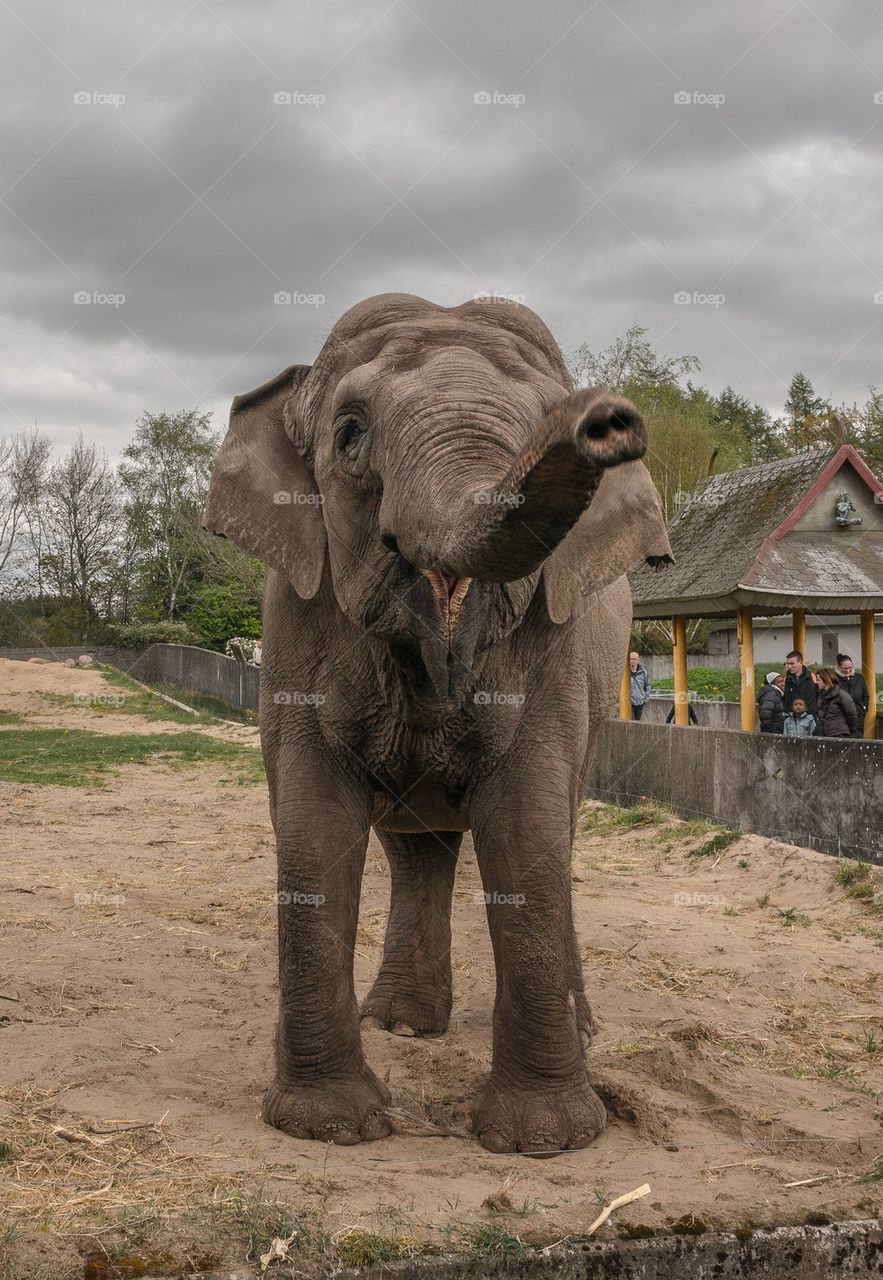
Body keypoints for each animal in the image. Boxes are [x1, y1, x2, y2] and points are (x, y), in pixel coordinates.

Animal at [203, 293, 672, 1155]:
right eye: (350, 435)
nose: (609, 418)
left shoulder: (553, 649)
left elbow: (525, 823)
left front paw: (542, 1142)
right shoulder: (293, 621)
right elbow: (314, 819)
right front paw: (333, 1128)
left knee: (549, 835)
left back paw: (577, 1032)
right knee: (417, 848)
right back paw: (400, 1025)